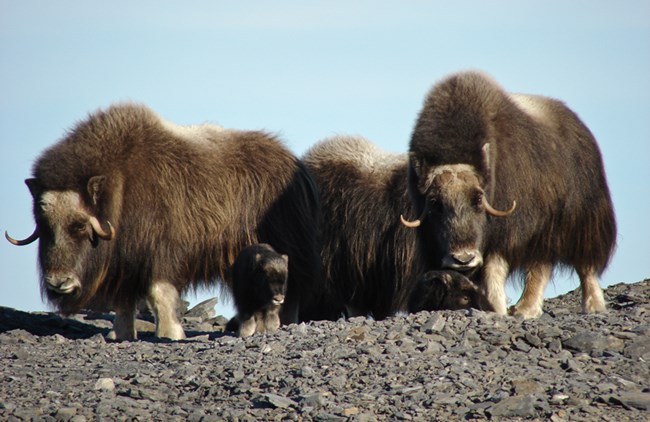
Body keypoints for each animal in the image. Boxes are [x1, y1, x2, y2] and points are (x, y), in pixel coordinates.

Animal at [6, 104, 324, 342]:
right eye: (44, 224)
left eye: (80, 226)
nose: (59, 282)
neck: (120, 186)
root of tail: (294, 163)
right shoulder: (126, 262)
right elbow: (124, 302)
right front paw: (121, 334)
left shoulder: (162, 253)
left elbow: (159, 294)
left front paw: (171, 334)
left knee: (290, 291)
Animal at [402, 71, 616, 316]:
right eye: (435, 203)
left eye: (478, 199)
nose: (463, 258)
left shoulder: (505, 235)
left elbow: (494, 270)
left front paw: (496, 308)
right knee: (542, 265)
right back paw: (526, 309)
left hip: (580, 222)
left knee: (583, 264)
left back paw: (590, 306)